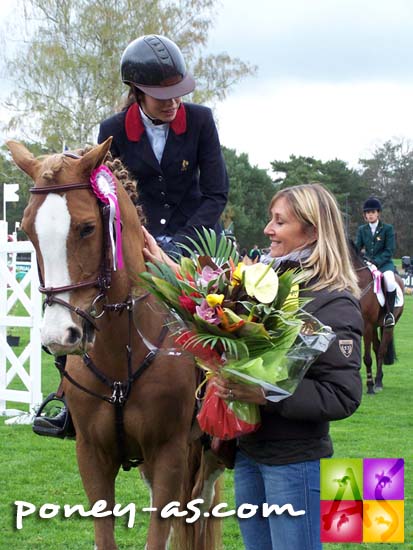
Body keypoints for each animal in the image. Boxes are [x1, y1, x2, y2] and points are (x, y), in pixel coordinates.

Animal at [6, 139, 222, 550]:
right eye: (28, 229)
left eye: (88, 228)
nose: (59, 336)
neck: (122, 352)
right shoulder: (92, 456)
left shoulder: (168, 455)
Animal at [348, 239, 402, 394]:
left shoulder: (366, 325)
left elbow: (366, 357)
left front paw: (371, 385)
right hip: (374, 326)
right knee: (377, 348)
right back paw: (380, 379)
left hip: (388, 325)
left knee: (382, 351)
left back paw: (377, 382)